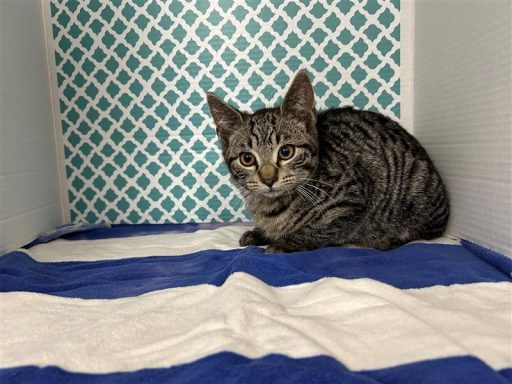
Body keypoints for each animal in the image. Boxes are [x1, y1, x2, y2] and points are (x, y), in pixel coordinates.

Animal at [204, 70, 448, 254]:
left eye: (286, 152)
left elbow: (320, 228)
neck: (271, 207)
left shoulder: (351, 200)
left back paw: (388, 239)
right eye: (247, 159)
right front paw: (260, 233)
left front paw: (286, 241)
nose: (268, 179)